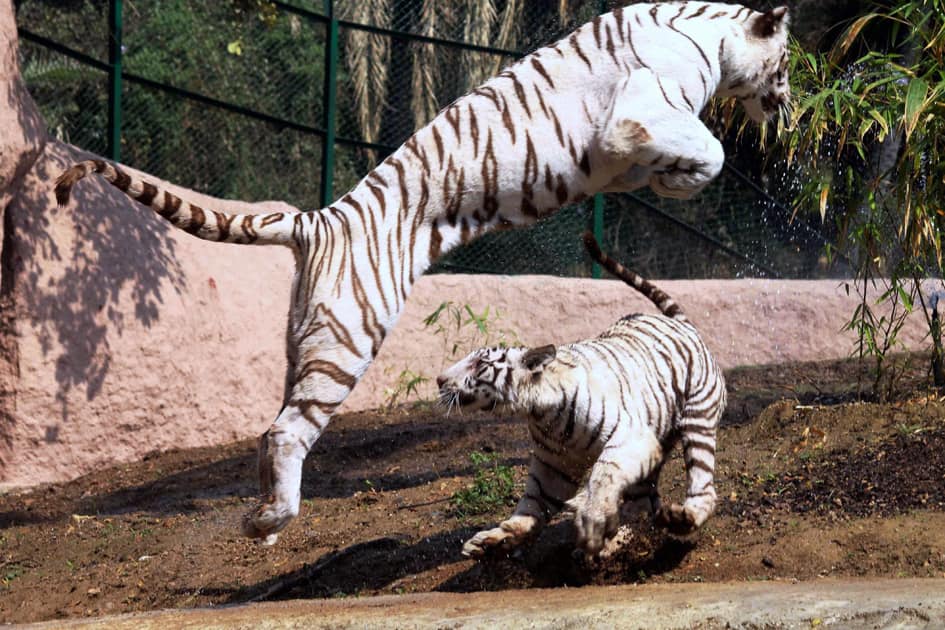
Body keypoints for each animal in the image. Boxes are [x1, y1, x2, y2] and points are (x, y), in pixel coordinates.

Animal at [438, 235, 728, 560]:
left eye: (479, 364)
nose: (439, 380)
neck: (540, 412)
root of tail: (683, 324)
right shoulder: (554, 468)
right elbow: (531, 508)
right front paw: (493, 540)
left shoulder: (631, 438)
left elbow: (603, 475)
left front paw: (591, 525)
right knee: (642, 505)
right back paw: (615, 542)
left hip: (698, 418)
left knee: (703, 486)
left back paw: (678, 519)